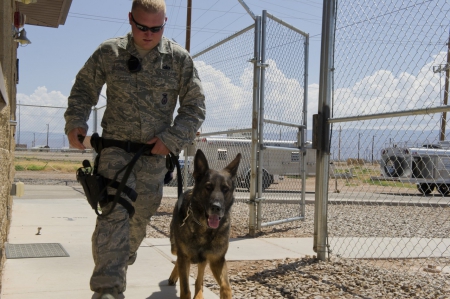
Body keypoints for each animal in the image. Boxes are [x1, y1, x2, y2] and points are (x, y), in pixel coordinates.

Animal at [168, 149, 241, 298]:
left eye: (225, 189)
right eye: (208, 187)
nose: (216, 207)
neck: (204, 228)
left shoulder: (217, 260)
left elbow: (226, 287)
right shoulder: (184, 256)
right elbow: (185, 289)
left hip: (203, 259)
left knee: (199, 280)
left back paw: (199, 294)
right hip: (175, 248)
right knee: (178, 260)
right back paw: (174, 276)